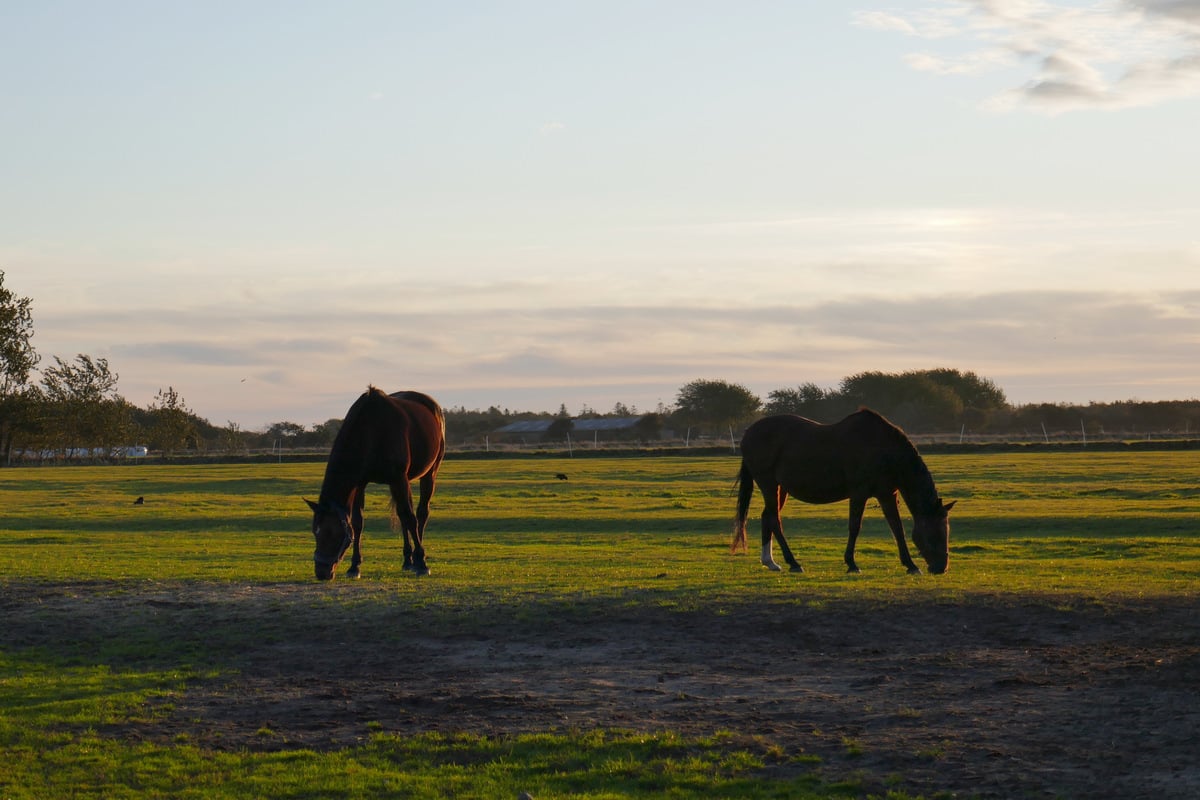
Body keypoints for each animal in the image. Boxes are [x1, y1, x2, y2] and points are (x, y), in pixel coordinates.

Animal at [304, 388, 446, 582]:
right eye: (314, 532)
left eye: (331, 532)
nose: (321, 572)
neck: (372, 430)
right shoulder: (361, 484)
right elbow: (358, 522)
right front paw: (354, 566)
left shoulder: (398, 478)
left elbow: (411, 518)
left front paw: (422, 563)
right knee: (403, 516)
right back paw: (407, 560)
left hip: (428, 474)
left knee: (420, 514)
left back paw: (417, 558)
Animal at [729, 412, 955, 575]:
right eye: (936, 531)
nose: (941, 567)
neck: (883, 449)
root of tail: (749, 433)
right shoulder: (859, 493)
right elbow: (855, 527)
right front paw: (852, 564)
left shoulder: (887, 495)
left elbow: (897, 529)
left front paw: (911, 565)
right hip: (768, 484)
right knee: (774, 520)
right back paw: (793, 563)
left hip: (779, 488)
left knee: (767, 516)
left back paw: (771, 562)